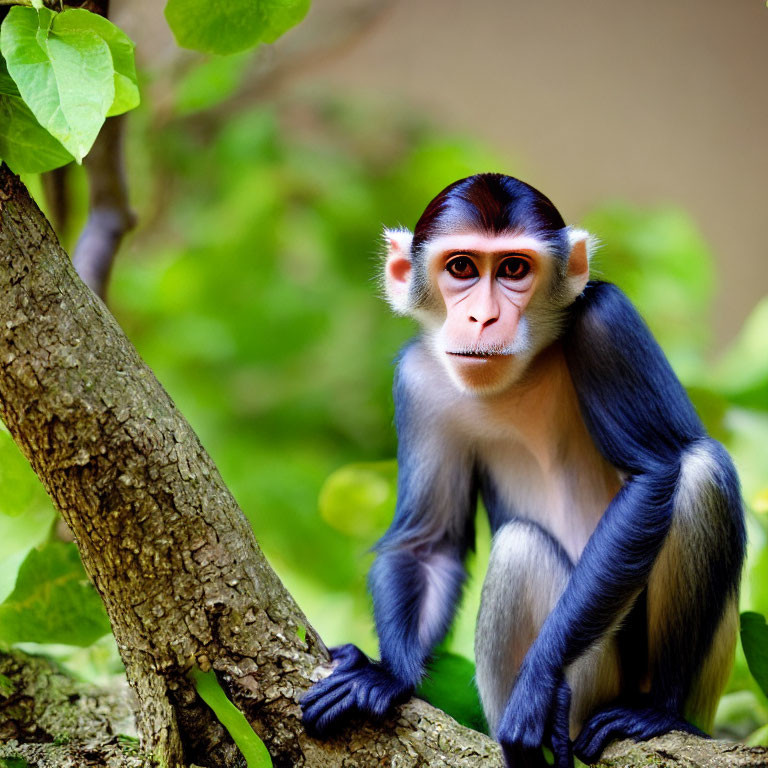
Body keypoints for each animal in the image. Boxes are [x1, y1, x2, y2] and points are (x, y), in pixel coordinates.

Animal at [300, 174, 744, 768]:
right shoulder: (419, 379)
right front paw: (388, 674)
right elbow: (429, 543)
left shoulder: (606, 318)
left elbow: (654, 473)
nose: (483, 318)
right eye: (461, 267)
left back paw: (657, 712)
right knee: (520, 546)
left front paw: (536, 686)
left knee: (698, 470)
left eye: (513, 269)